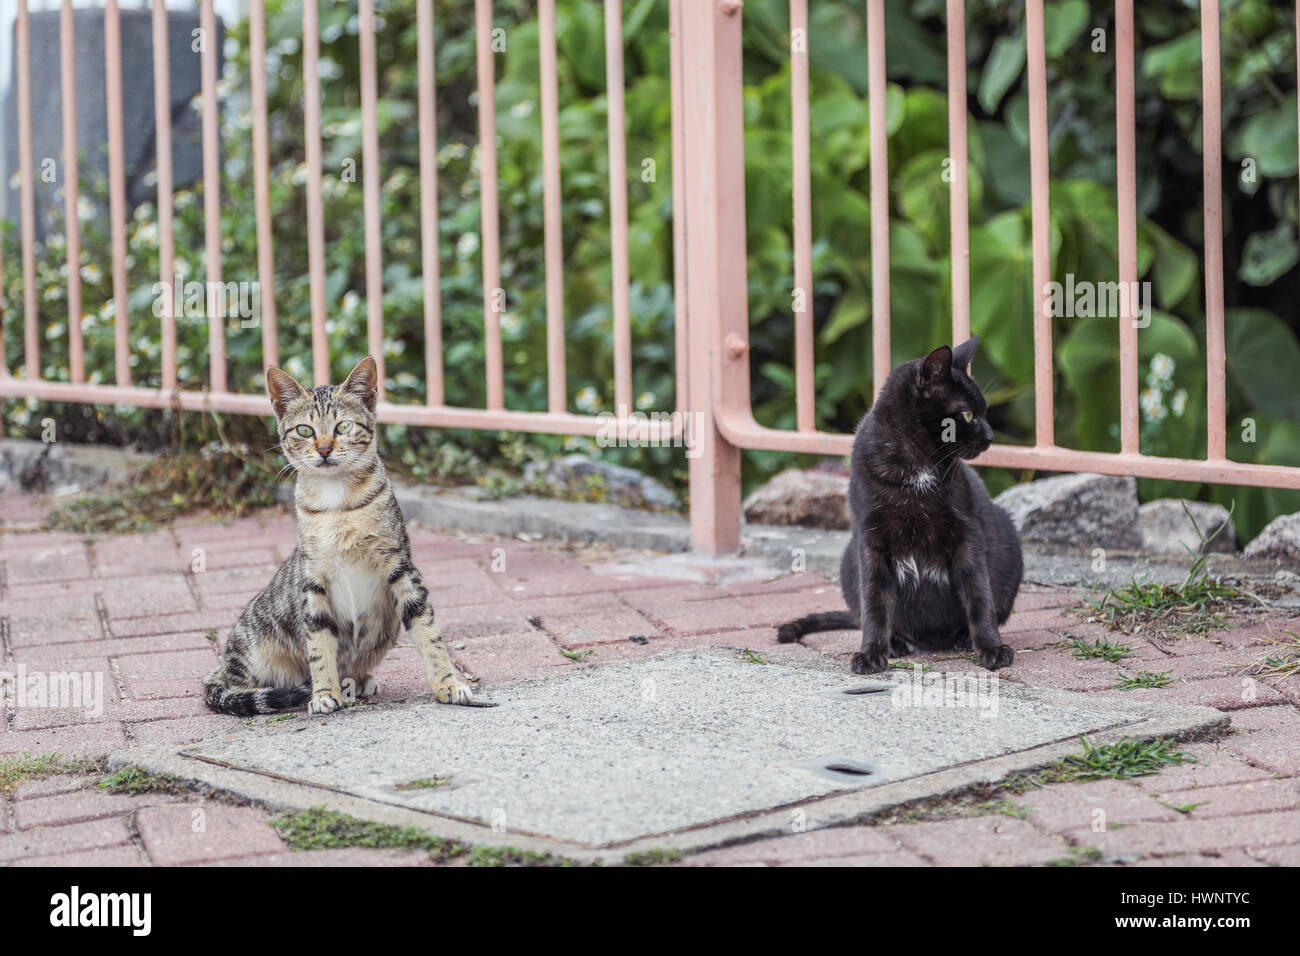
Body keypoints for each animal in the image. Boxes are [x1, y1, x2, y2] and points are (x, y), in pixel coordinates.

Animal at [205, 358, 480, 717]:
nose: (324, 449)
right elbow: (319, 644)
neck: (337, 504)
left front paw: (448, 683)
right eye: (305, 430)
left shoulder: (402, 567)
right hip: (254, 651)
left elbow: (429, 632)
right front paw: (324, 692)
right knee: (235, 688)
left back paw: (359, 680)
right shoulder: (313, 580)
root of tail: (222, 665)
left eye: (343, 427)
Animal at [774, 335, 1019, 671]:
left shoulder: (966, 534)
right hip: (849, 561)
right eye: (968, 414)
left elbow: (979, 593)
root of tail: (932, 641)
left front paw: (992, 648)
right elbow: (874, 601)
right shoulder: (871, 539)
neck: (917, 467)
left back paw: (962, 638)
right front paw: (871, 653)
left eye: (984, 411)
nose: (991, 435)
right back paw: (897, 644)